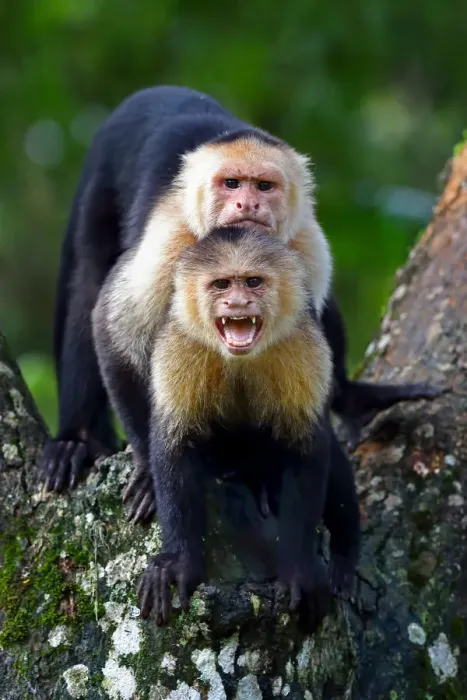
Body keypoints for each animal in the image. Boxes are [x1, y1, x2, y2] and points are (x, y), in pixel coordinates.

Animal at [39, 85, 439, 493]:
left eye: (264, 185)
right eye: (231, 183)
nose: (247, 203)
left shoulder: (305, 243)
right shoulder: (173, 238)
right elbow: (113, 330)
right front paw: (152, 465)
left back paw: (349, 397)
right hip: (100, 181)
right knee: (87, 282)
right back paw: (77, 438)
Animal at [92, 225, 361, 625]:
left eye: (253, 282)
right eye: (221, 285)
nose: (237, 303)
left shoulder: (303, 345)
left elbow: (307, 451)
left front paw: (299, 570)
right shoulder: (180, 344)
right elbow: (175, 448)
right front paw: (180, 563)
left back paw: (344, 554)